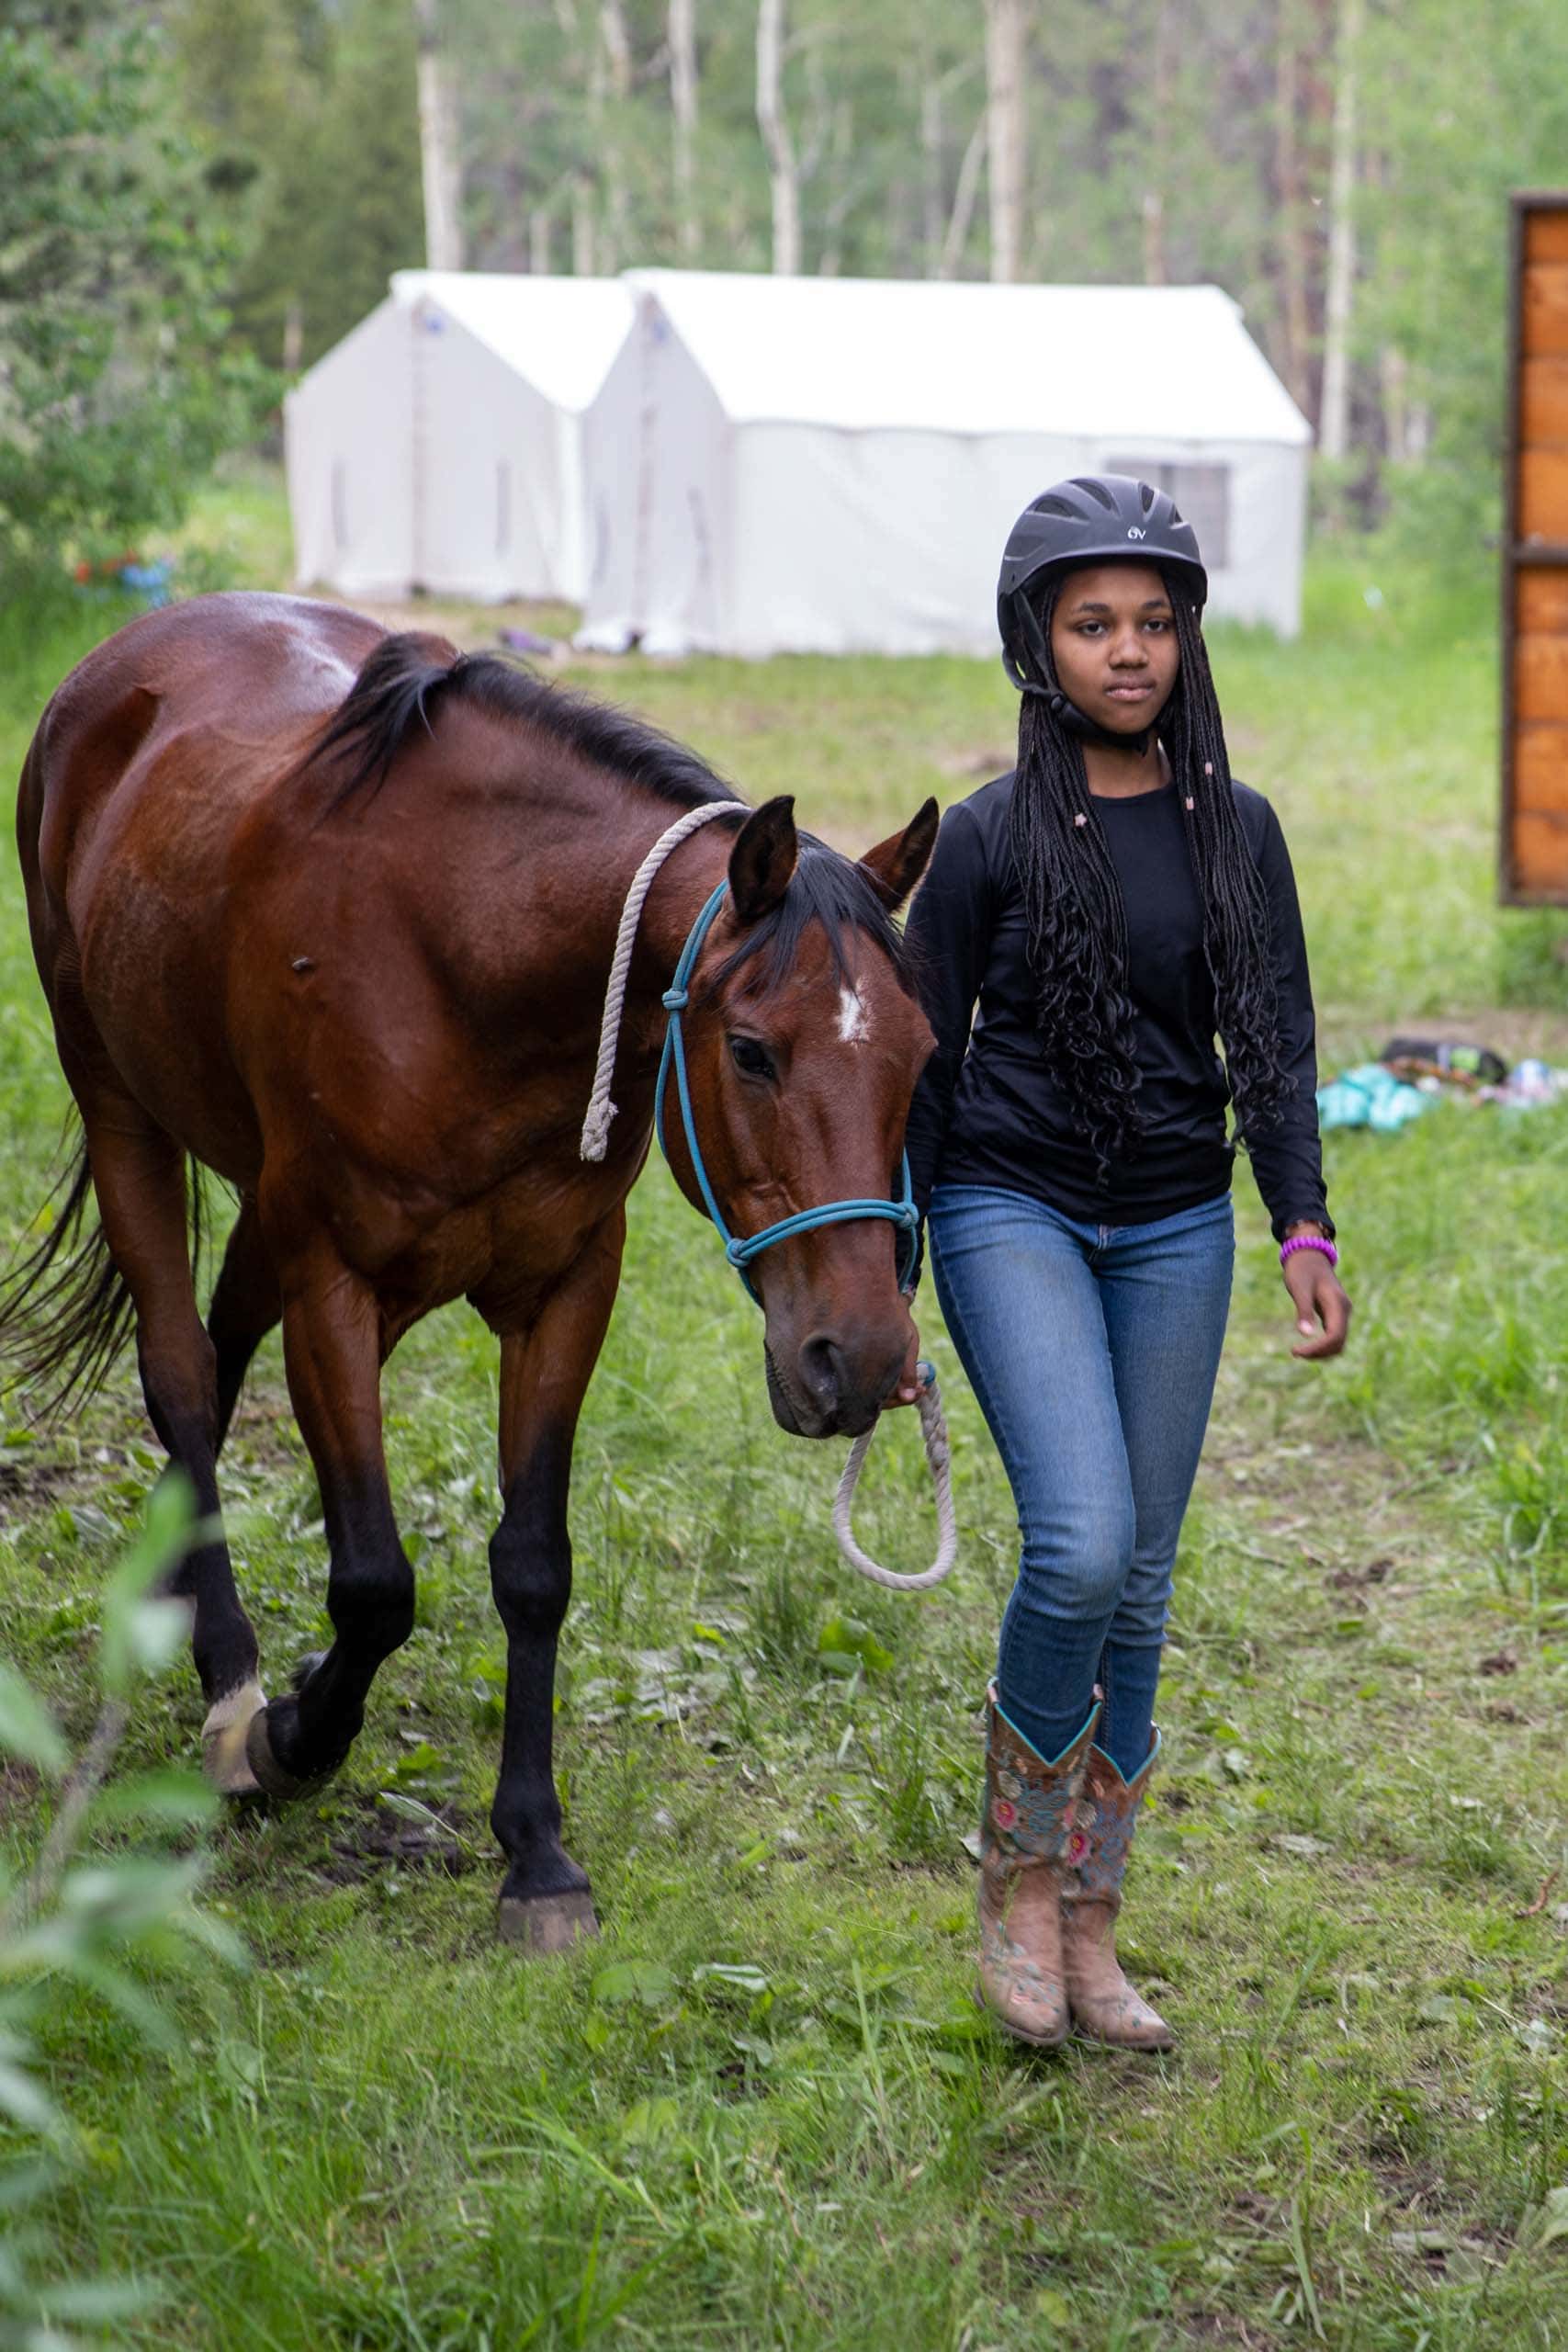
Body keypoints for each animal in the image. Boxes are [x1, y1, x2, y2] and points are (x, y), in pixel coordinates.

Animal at [9, 591, 938, 1950]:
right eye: (754, 1053)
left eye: (921, 1055)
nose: (860, 1359)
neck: (468, 949)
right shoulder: (333, 1282)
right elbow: (375, 1584)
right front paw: (289, 1735)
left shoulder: (562, 1289)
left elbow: (534, 1567)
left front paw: (535, 1851)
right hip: (121, 1105)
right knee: (180, 1372)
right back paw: (230, 1681)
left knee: (217, 1361)